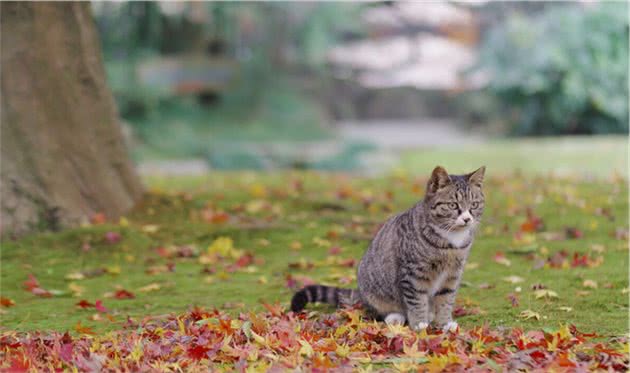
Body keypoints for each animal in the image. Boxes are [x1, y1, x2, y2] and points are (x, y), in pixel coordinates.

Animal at [292, 166, 488, 332]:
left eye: (474, 205)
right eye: (453, 205)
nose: (467, 219)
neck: (451, 242)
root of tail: (360, 294)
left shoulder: (452, 273)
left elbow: (446, 299)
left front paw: (445, 323)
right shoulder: (412, 273)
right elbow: (417, 300)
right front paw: (419, 323)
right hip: (374, 291)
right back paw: (395, 316)